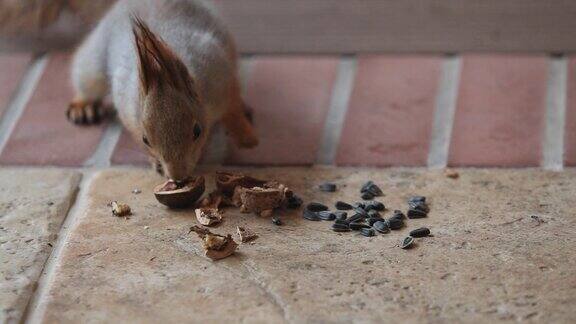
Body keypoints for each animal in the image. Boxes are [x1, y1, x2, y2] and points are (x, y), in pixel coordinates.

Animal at [66, 0, 258, 182]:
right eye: (145, 139)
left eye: (197, 131)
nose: (178, 177)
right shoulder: (127, 111)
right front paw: (156, 163)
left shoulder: (220, 77)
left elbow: (232, 108)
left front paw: (245, 136)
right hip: (94, 63)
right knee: (88, 81)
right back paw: (83, 106)